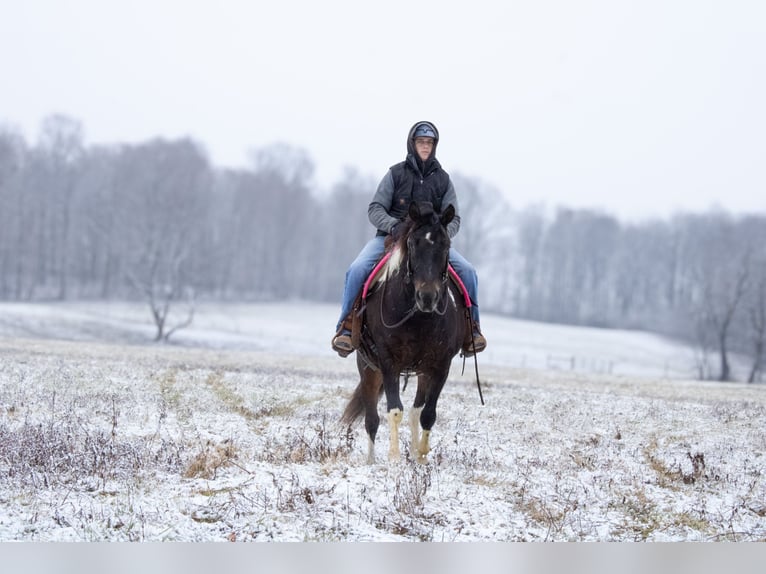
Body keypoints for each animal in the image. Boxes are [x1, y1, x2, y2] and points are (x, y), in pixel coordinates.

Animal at [342, 201, 468, 464]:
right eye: (412, 243)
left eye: (446, 245)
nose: (427, 296)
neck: (418, 317)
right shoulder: (389, 363)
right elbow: (394, 410)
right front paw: (394, 459)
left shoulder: (440, 366)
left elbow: (427, 413)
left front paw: (421, 456)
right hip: (368, 367)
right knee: (372, 418)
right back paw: (371, 461)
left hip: (422, 371)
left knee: (415, 411)